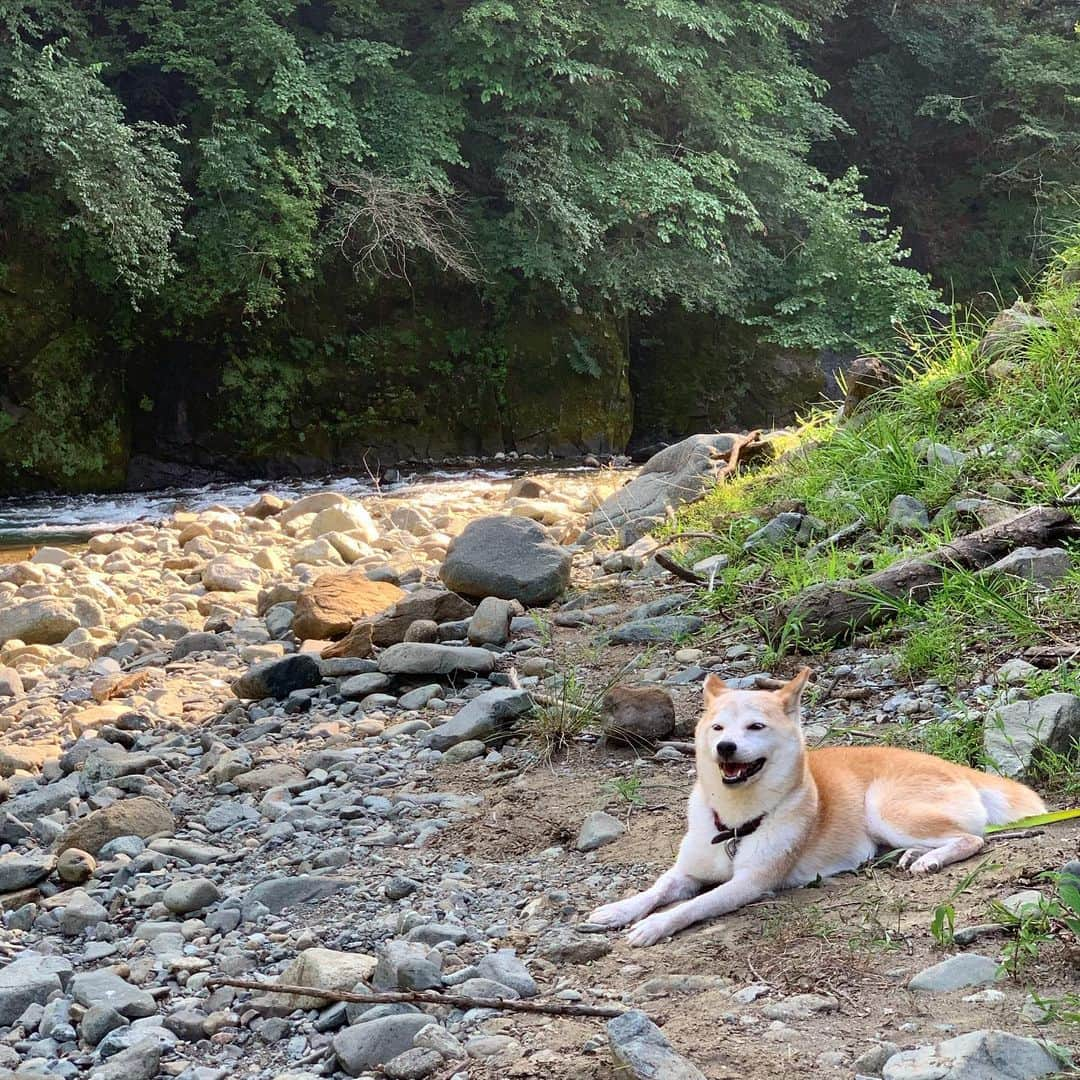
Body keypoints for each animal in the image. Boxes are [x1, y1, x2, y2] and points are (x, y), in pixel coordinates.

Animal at [591, 665, 1045, 946]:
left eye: (756, 726)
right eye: (717, 727)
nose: (725, 747)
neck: (735, 823)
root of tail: (951, 765)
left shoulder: (749, 884)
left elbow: (692, 906)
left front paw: (654, 925)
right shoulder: (688, 870)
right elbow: (658, 888)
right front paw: (619, 909)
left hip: (884, 808)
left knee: (972, 839)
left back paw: (930, 859)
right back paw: (914, 855)